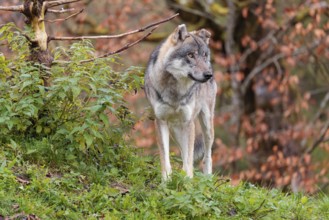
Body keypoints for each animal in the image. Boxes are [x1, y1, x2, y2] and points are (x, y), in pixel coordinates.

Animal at [144, 23, 215, 180]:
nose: (209, 74)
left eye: (204, 55)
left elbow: (189, 160)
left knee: (207, 154)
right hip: (175, 129)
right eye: (191, 55)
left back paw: (207, 178)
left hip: (206, 125)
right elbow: (165, 158)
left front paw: (188, 180)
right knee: (184, 153)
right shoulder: (161, 122)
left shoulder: (188, 122)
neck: (175, 91)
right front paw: (166, 181)